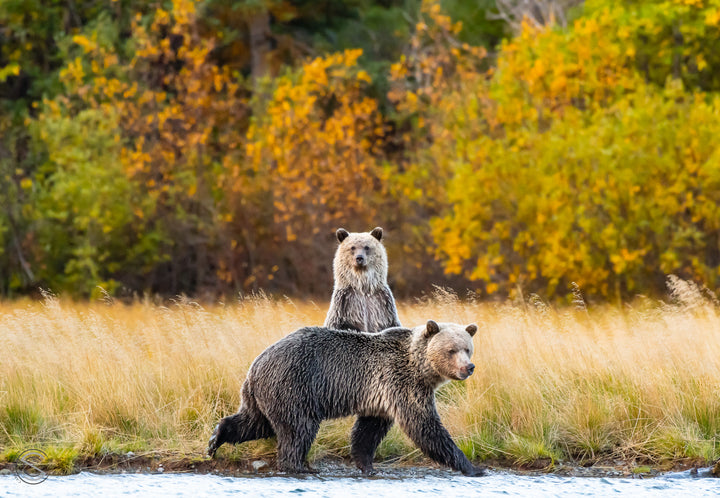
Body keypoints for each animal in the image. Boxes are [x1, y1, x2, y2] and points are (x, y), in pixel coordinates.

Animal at [208, 320, 490, 476]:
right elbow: (425, 426)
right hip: (294, 386)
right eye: (451, 350)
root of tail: (257, 363)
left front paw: (366, 465)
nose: (469, 367)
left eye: (468, 348)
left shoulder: (381, 396)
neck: (420, 368)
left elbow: (368, 431)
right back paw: (299, 466)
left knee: (255, 422)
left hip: (264, 394)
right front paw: (473, 467)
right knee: (298, 429)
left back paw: (215, 438)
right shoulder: (402, 383)